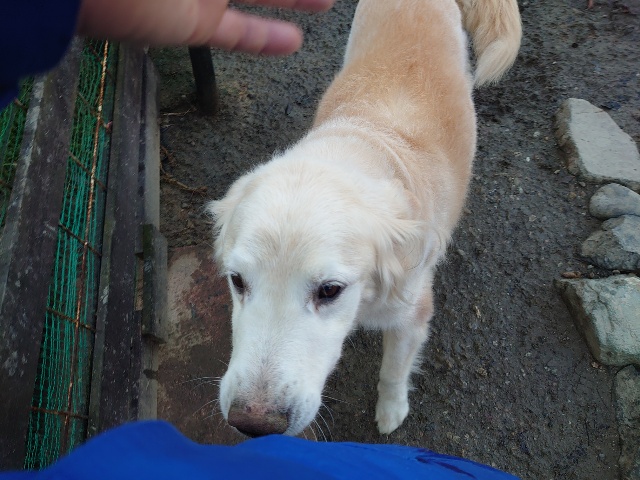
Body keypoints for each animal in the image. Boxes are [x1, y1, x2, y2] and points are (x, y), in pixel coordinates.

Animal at [207, 0, 521, 437]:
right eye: (237, 281)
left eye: (329, 290)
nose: (252, 424)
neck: (362, 142)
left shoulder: (412, 314)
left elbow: (393, 371)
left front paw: (391, 411)